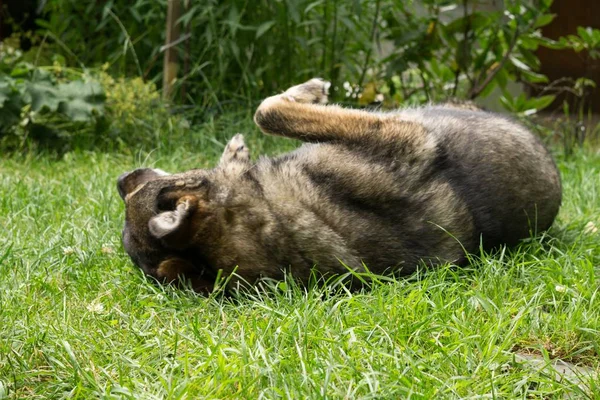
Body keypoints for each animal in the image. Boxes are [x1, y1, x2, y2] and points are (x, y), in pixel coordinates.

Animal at [116, 78, 564, 292]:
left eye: (132, 192)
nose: (122, 178)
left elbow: (267, 113)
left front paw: (234, 154)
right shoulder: (409, 136)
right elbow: (268, 111)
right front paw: (310, 92)